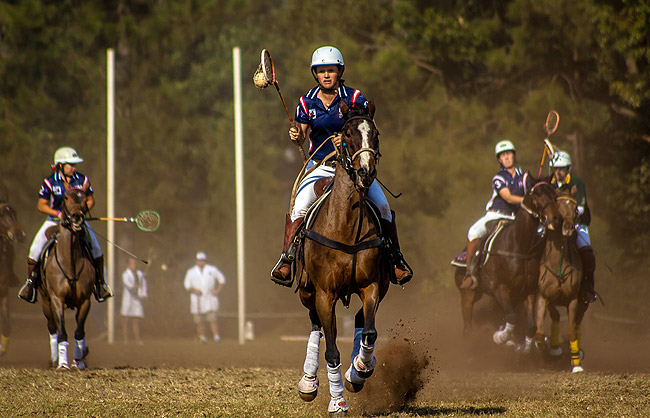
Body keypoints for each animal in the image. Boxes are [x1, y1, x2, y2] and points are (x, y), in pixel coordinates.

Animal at [39, 189, 94, 370]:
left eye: (84, 199)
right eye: (66, 197)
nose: (77, 217)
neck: (70, 261)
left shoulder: (85, 301)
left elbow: (79, 331)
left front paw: (79, 360)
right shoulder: (57, 298)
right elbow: (62, 331)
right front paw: (63, 364)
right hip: (46, 300)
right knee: (52, 327)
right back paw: (55, 358)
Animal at [294, 102, 390, 418]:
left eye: (375, 134)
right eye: (347, 133)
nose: (366, 172)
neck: (347, 226)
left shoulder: (371, 286)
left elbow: (369, 332)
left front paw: (359, 370)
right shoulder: (325, 294)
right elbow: (332, 349)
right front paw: (337, 402)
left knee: (360, 321)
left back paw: (357, 370)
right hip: (307, 291)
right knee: (316, 326)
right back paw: (309, 381)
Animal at [454, 179, 560, 350]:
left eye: (555, 194)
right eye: (537, 194)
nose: (555, 218)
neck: (520, 246)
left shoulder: (527, 291)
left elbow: (530, 326)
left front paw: (524, 346)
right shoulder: (500, 288)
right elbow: (511, 317)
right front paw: (501, 337)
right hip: (467, 293)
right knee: (467, 328)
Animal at [536, 193, 584, 372]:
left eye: (575, 209)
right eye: (558, 207)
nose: (568, 227)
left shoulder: (573, 300)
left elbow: (571, 331)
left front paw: (576, 365)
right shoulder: (543, 297)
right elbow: (540, 333)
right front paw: (547, 350)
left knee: (577, 325)